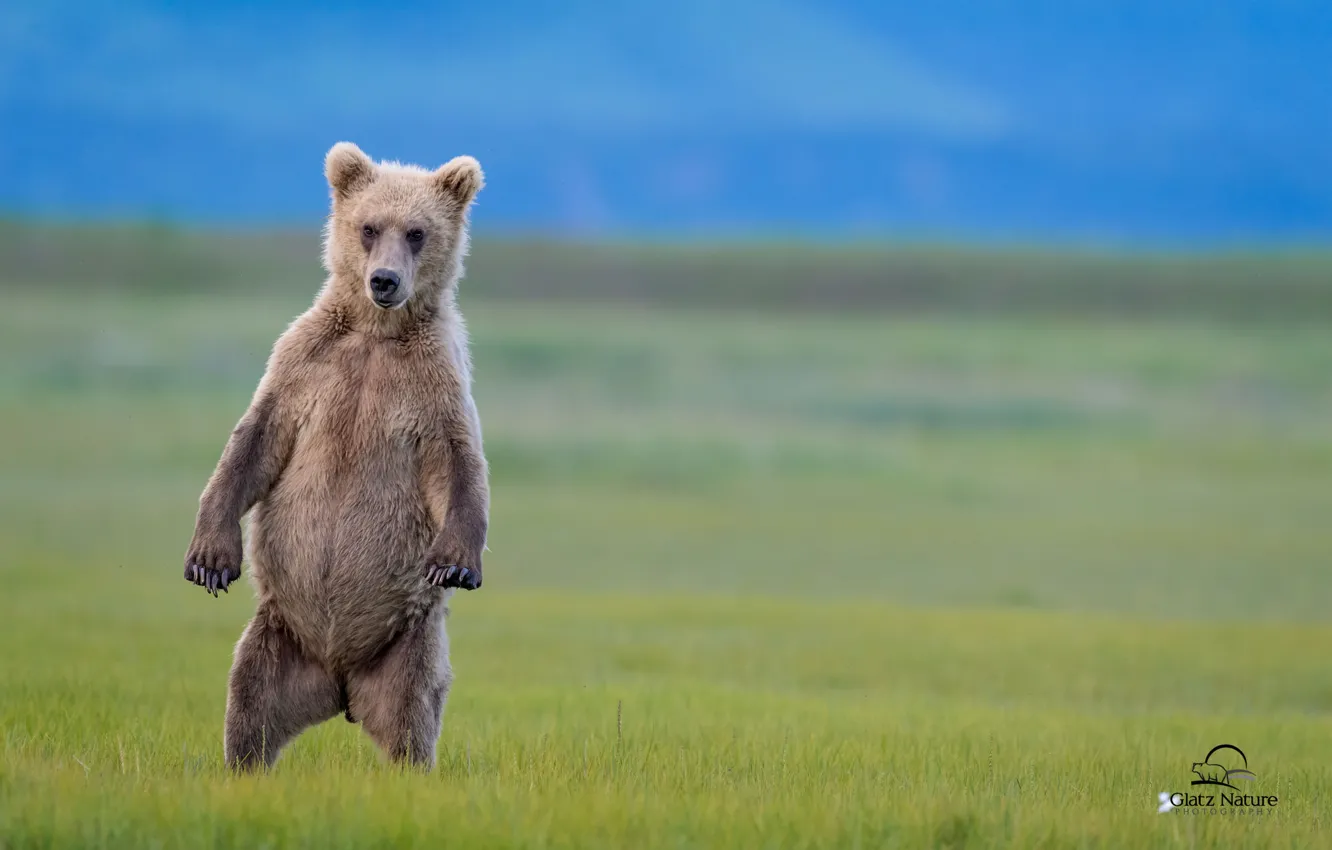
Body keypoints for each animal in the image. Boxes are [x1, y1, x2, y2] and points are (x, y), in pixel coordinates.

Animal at [182, 141, 490, 772]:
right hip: (277, 635)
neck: (376, 332)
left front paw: (456, 562)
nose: (384, 280)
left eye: (417, 232)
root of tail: (340, 684)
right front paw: (210, 559)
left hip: (406, 644)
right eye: (368, 227)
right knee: (248, 703)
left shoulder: (433, 384)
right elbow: (254, 441)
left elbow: (457, 464)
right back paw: (243, 766)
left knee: (411, 716)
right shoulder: (307, 364)